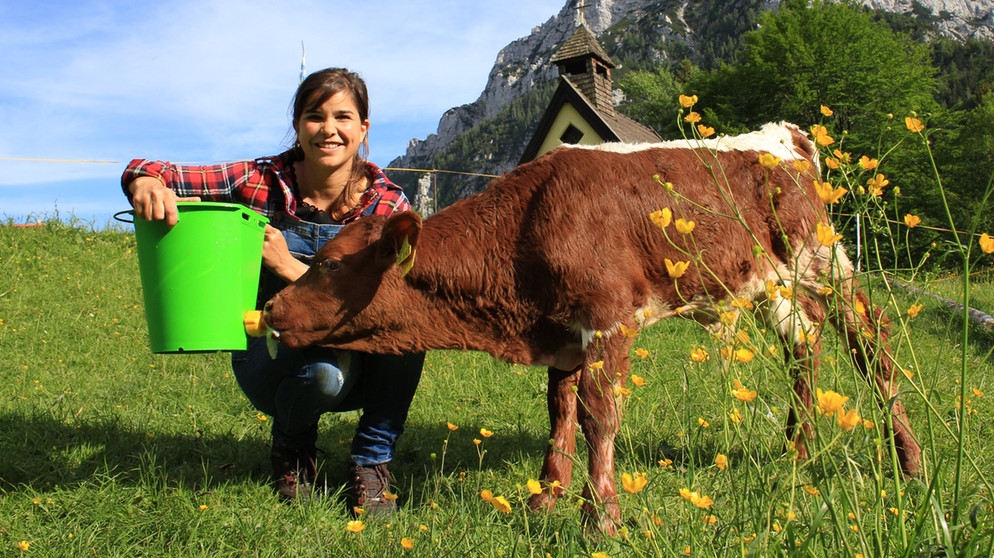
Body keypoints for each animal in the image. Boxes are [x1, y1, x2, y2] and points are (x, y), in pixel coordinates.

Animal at [266, 124, 924, 536]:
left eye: (331, 263)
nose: (271, 310)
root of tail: (783, 135)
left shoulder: (609, 320)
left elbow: (598, 414)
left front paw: (599, 517)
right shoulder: (561, 331)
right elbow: (559, 410)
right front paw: (544, 497)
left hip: (822, 258)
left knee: (871, 341)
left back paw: (909, 460)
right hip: (772, 285)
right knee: (803, 348)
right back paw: (797, 451)